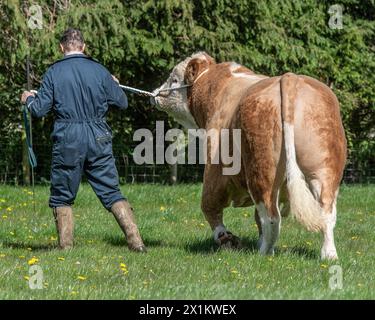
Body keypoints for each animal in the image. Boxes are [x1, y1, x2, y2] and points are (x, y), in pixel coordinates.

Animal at [151, 51, 348, 258]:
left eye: (174, 79)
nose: (156, 93)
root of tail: (289, 78)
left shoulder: (215, 168)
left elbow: (210, 205)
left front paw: (226, 239)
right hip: (324, 168)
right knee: (326, 212)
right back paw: (328, 254)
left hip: (261, 169)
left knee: (271, 216)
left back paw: (264, 252)